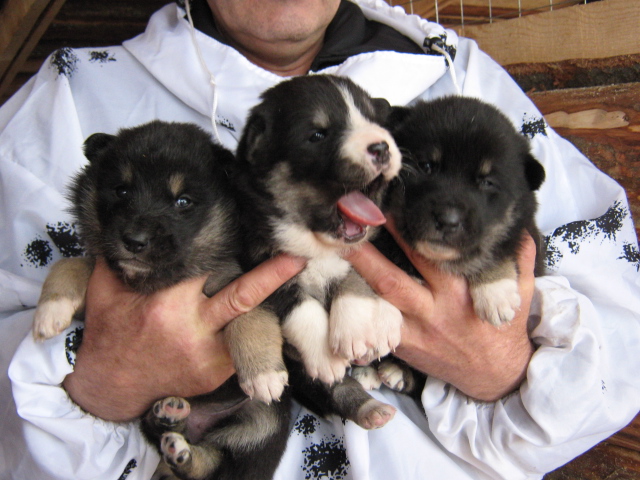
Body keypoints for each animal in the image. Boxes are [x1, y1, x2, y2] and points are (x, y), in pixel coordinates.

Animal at [32, 121, 292, 480]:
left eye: (183, 201)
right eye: (122, 191)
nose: (134, 242)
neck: (154, 282)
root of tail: (199, 422)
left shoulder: (240, 282)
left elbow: (249, 316)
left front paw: (263, 374)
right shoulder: (99, 278)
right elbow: (70, 264)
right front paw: (50, 311)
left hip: (263, 425)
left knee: (218, 465)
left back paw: (183, 446)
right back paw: (171, 421)